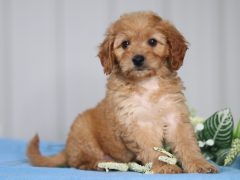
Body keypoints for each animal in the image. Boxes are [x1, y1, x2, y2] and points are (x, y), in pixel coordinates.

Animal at [27, 10, 218, 173]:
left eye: (152, 42)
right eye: (125, 44)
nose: (138, 59)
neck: (147, 84)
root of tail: (66, 148)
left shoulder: (175, 115)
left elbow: (188, 144)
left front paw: (199, 164)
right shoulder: (137, 123)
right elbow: (152, 149)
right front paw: (164, 166)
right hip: (82, 132)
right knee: (78, 161)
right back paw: (99, 164)